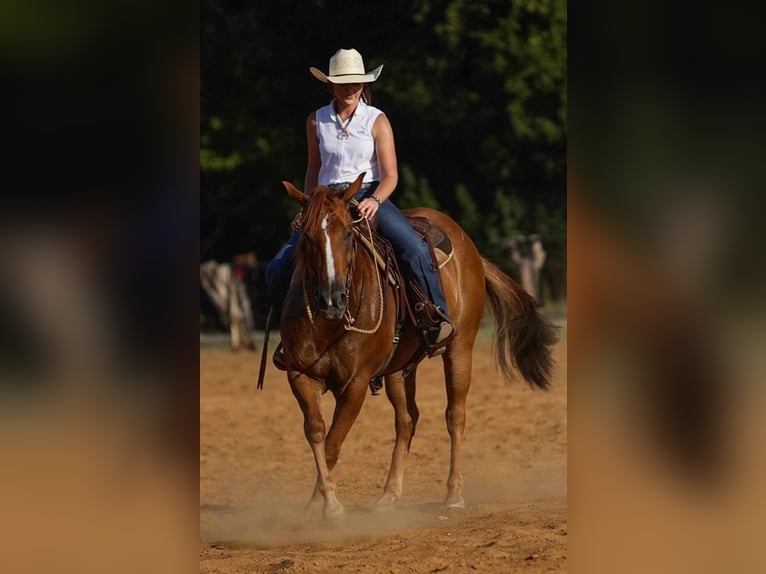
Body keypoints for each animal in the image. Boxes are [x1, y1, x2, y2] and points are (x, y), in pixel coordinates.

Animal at [276, 174, 560, 516]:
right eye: (306, 235)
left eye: (347, 234)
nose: (331, 300)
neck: (333, 322)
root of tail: (470, 248)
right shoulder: (301, 376)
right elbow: (317, 433)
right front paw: (318, 504)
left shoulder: (356, 384)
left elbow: (333, 443)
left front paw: (329, 506)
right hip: (400, 368)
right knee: (407, 419)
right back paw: (388, 495)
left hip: (460, 348)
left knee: (454, 415)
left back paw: (453, 494)